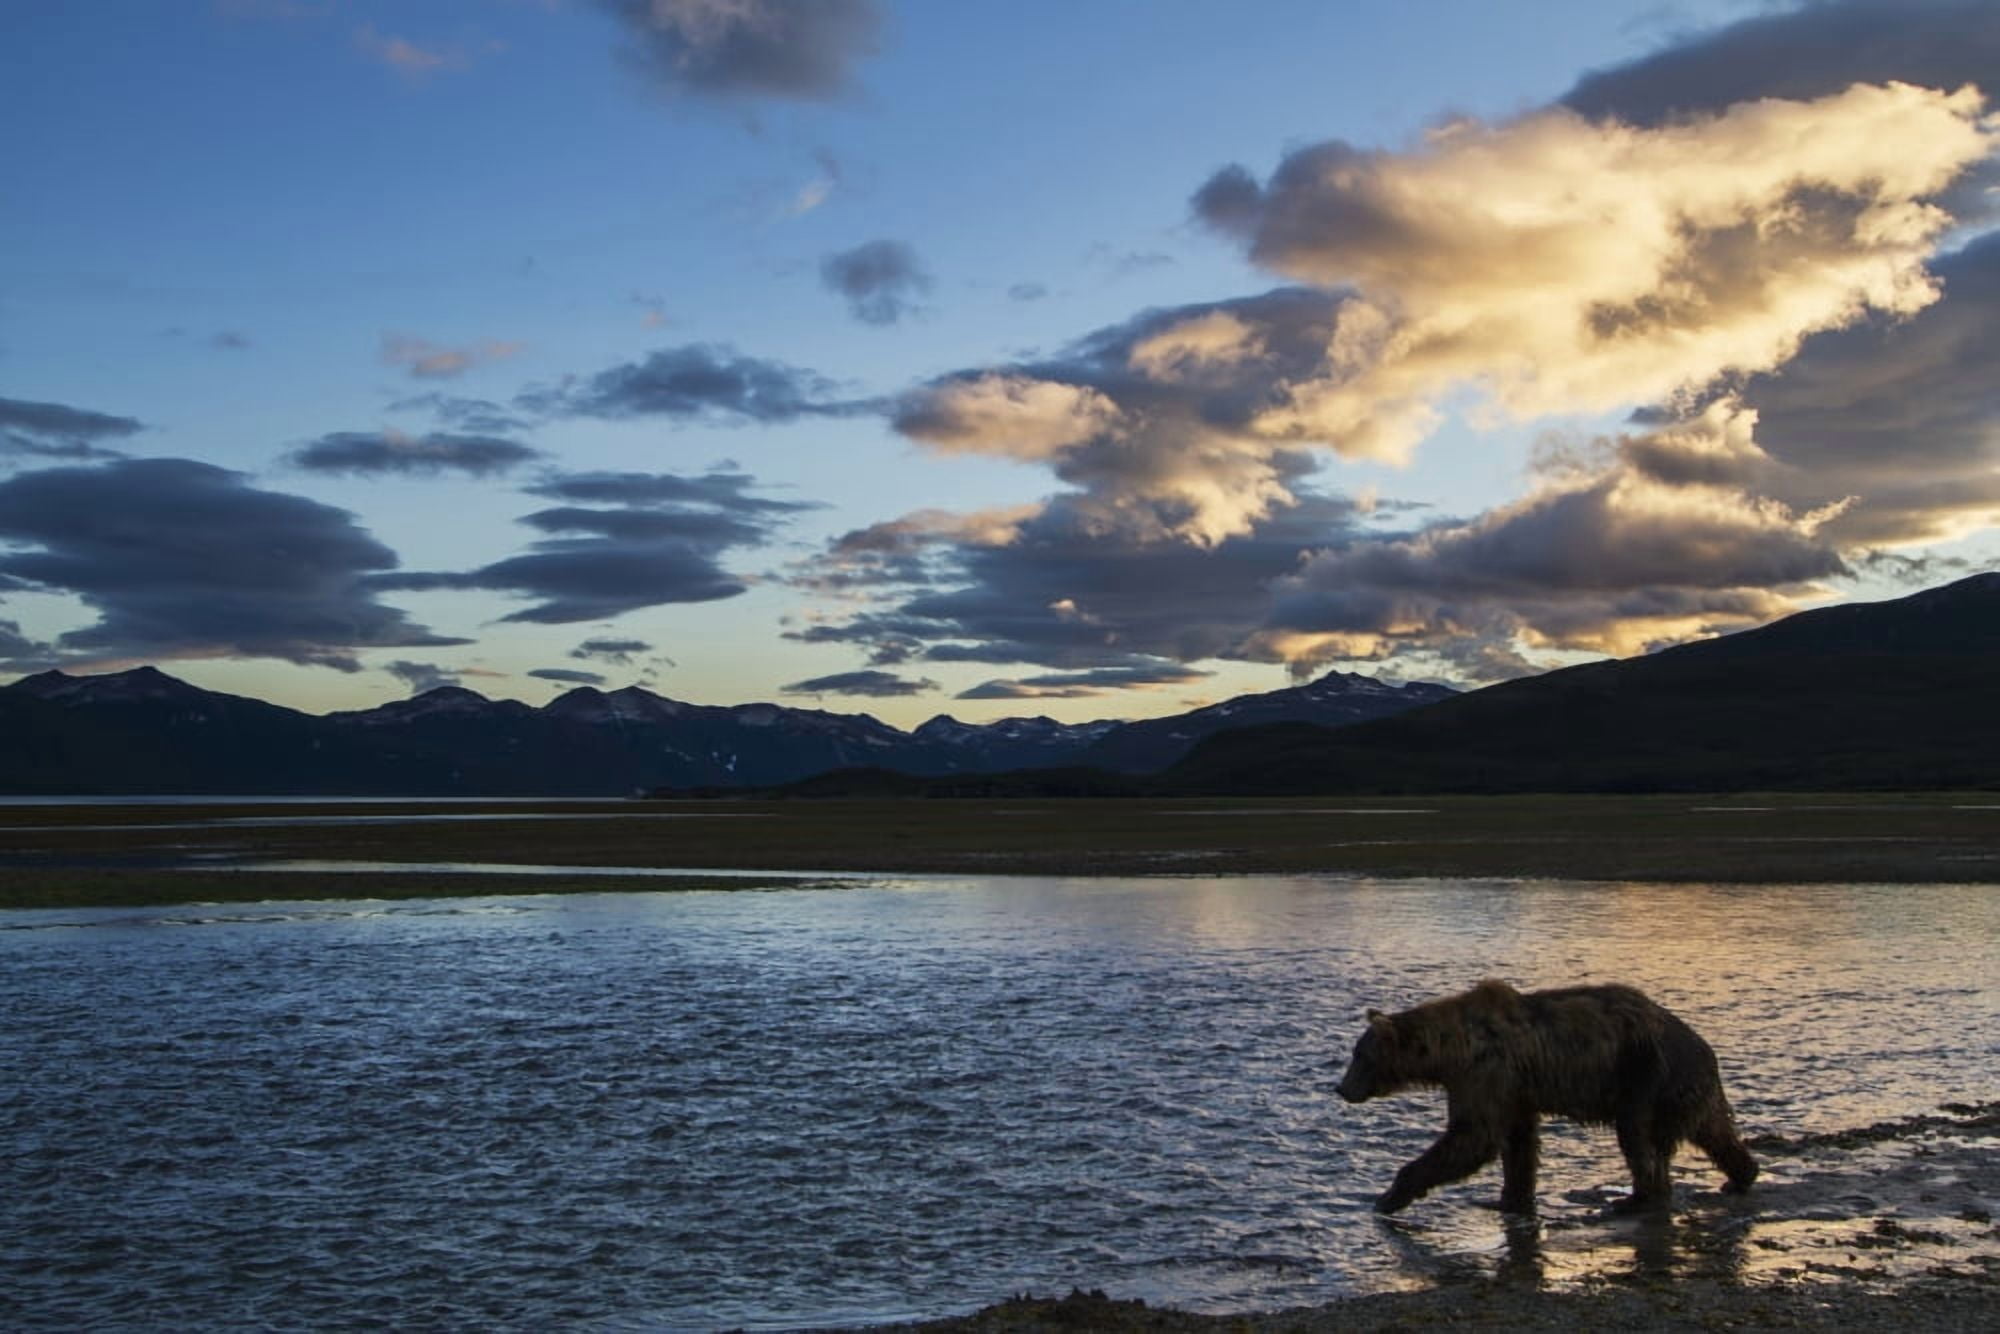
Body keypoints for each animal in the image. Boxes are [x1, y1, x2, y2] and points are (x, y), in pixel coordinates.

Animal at [1335, 979, 1758, 1215]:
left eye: (1360, 1055)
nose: (1340, 1088)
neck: (1451, 1049)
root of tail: (1705, 1049)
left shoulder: (1486, 1072)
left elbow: (1473, 1136)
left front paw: (1390, 1195)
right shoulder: (1514, 1089)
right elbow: (1518, 1142)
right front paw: (1511, 1198)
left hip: (1642, 1077)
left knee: (1638, 1138)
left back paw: (1634, 1199)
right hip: (1682, 1089)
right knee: (1714, 1131)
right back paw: (1742, 1175)